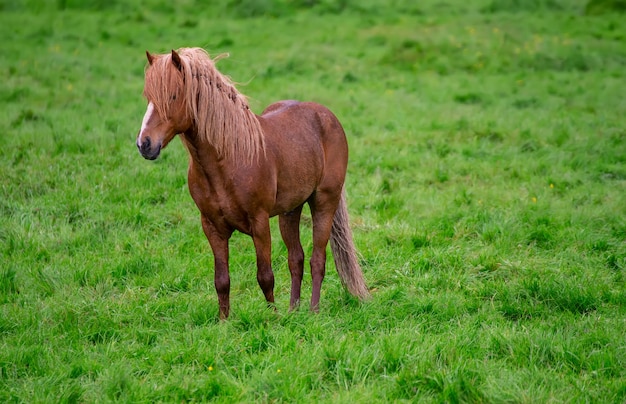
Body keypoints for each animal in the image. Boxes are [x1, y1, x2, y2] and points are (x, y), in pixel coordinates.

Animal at [135, 47, 366, 318]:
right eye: (148, 97)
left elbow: (265, 276)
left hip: (324, 202)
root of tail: (327, 116)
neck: (227, 160)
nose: (145, 144)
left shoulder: (259, 222)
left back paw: (313, 312)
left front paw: (272, 318)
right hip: (290, 210)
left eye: (172, 96)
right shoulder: (212, 227)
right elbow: (221, 280)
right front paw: (224, 321)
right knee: (296, 259)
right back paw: (293, 310)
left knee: (317, 259)